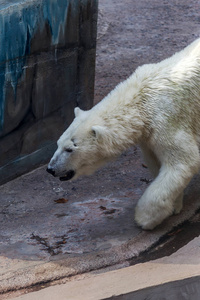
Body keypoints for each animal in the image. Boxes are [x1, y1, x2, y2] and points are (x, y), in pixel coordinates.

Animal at [46, 38, 200, 230]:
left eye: (70, 149)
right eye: (58, 144)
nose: (51, 169)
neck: (141, 101)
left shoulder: (168, 118)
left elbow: (184, 161)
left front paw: (145, 218)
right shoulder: (148, 135)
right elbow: (157, 162)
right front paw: (175, 205)